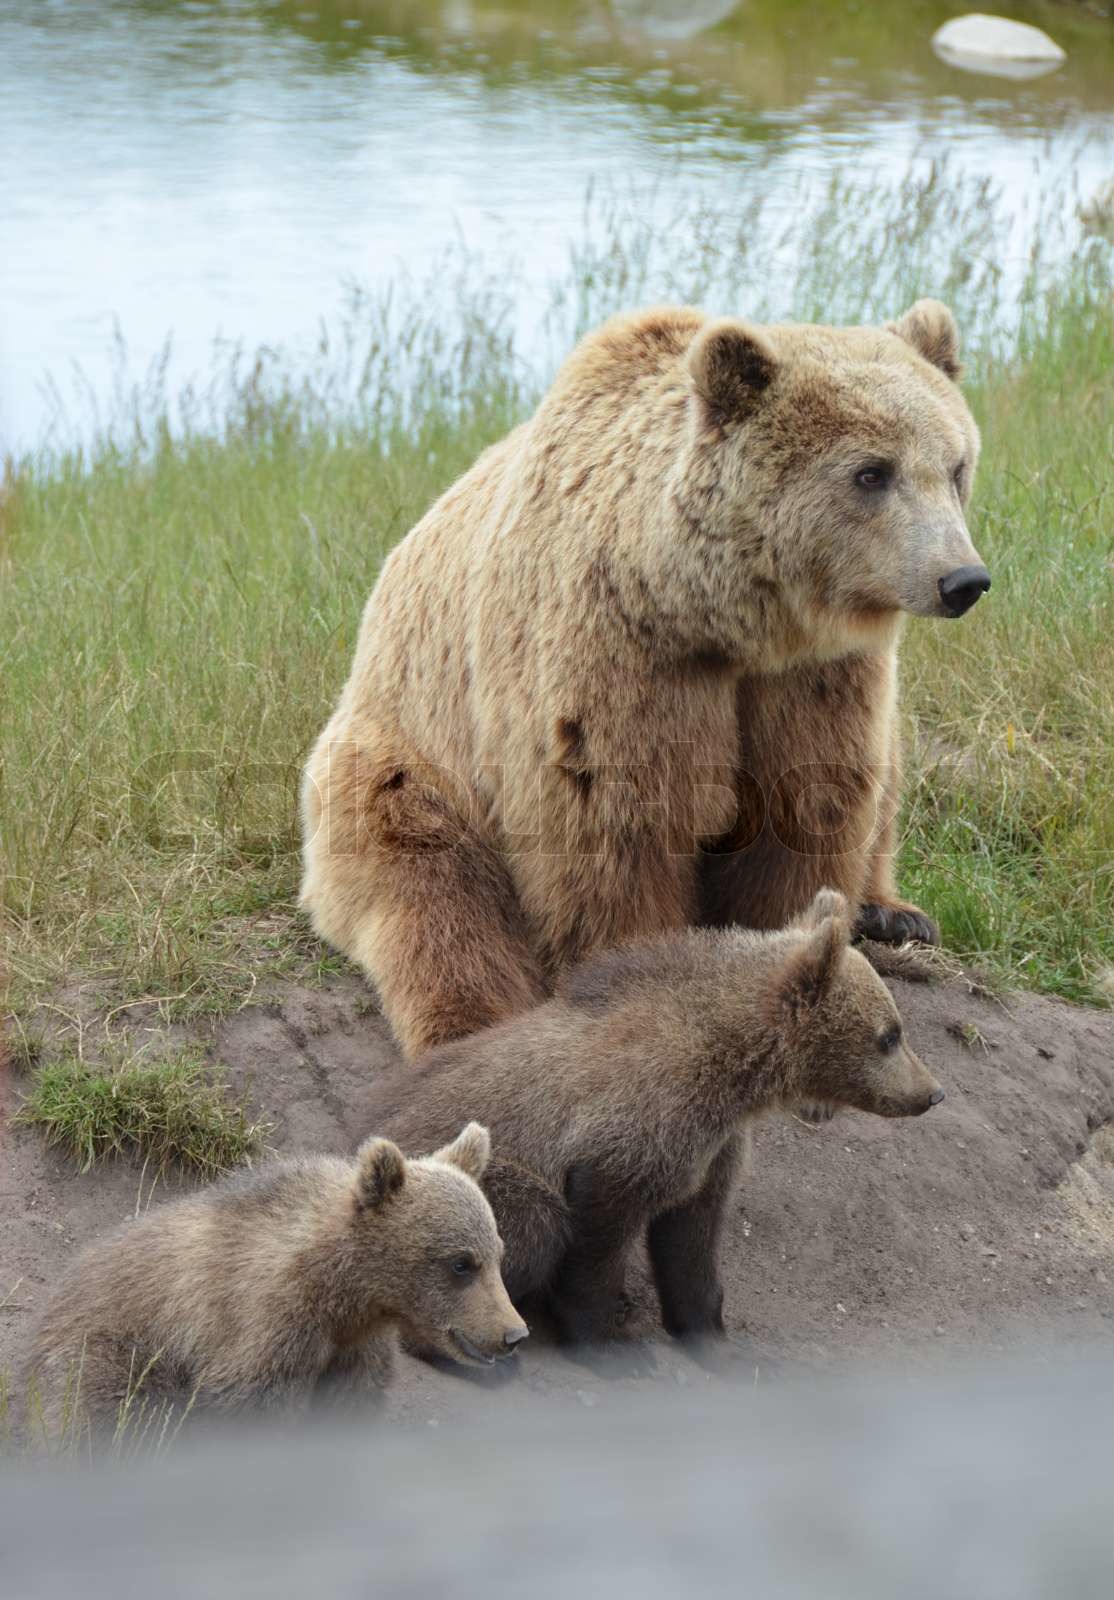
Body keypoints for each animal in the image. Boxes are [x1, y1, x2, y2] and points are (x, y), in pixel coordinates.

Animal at [22, 1123, 527, 1441]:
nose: (514, 1333)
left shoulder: (354, 1351)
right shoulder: (264, 1329)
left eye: (498, 1255)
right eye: (461, 1263)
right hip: (113, 1355)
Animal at [300, 299, 988, 1061]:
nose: (962, 579)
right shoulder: (615, 652)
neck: (713, 614)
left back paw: (894, 913)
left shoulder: (814, 675)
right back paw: (464, 1023)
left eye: (955, 466)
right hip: (405, 762)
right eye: (872, 472)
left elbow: (807, 801)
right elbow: (619, 820)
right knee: (432, 896)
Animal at [353, 890, 945, 1349]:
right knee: (524, 1228)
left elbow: (692, 1243)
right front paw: (608, 1342)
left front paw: (712, 1337)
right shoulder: (623, 1141)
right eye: (890, 1035)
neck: (730, 1074)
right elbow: (596, 1246)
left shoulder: (710, 1150)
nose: (933, 1092)